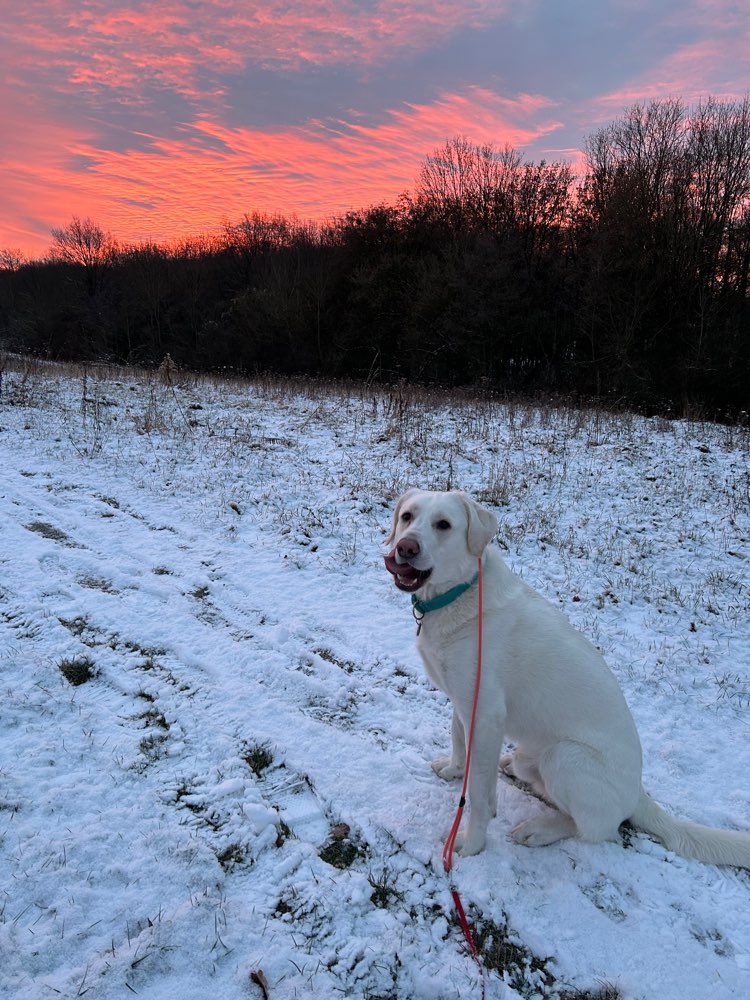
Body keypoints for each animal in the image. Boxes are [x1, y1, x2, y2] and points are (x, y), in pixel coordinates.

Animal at [388, 488, 750, 864]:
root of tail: (638, 794)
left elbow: (478, 795)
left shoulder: (486, 713)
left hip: (565, 757)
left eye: (443, 525)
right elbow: (458, 740)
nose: (405, 547)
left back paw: (539, 830)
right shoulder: (463, 701)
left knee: (598, 829)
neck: (458, 592)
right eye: (407, 516)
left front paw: (471, 844)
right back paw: (509, 765)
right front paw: (454, 769)